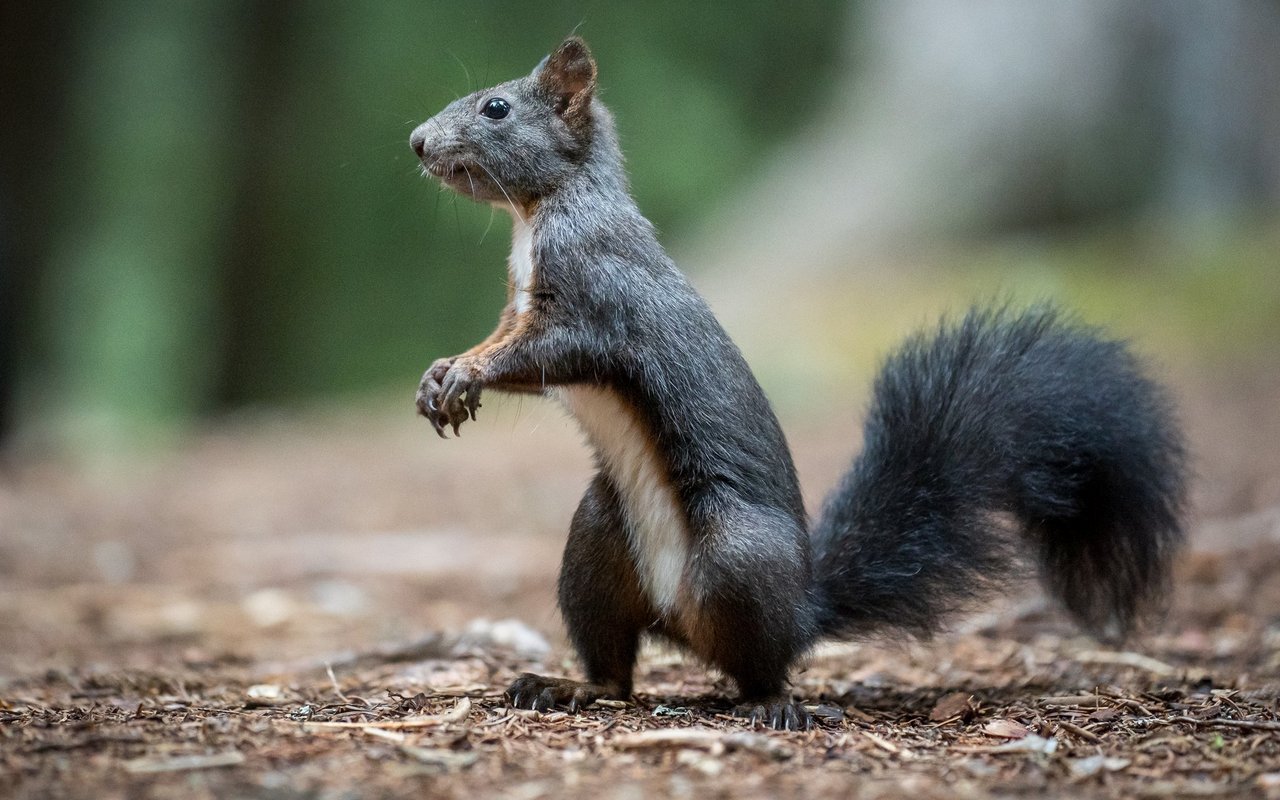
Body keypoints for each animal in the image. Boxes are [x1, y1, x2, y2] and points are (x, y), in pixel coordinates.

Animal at [409, 35, 1187, 732]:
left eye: (497, 108)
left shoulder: (598, 298)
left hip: (737, 558)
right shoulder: (518, 308)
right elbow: (507, 346)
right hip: (599, 542)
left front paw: (466, 374)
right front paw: (440, 375)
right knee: (617, 669)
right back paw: (569, 686)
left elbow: (550, 353)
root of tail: (801, 607)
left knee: (760, 663)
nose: (417, 141)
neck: (540, 213)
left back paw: (769, 702)